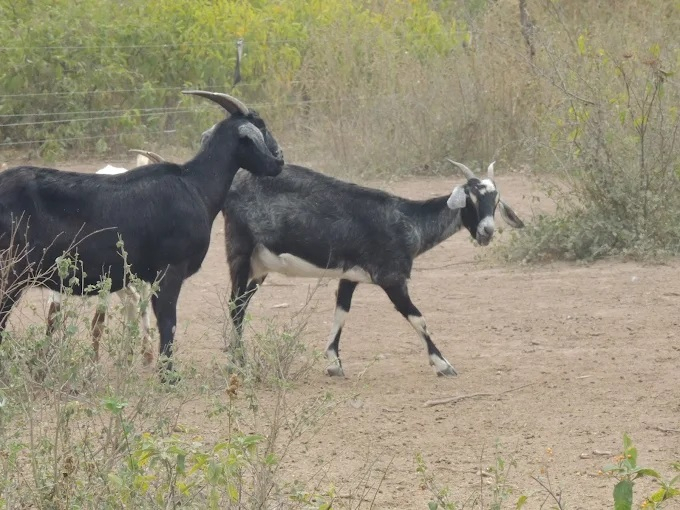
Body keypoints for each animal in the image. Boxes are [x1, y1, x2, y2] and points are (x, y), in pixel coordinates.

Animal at [45, 150, 164, 366]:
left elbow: (97, 323)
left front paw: (93, 364)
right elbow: (53, 318)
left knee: (142, 301)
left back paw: (146, 352)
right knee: (132, 299)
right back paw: (127, 355)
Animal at [222, 159, 524, 377]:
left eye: (496, 201)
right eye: (470, 198)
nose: (486, 232)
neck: (408, 222)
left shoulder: (350, 276)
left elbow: (341, 312)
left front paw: (334, 364)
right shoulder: (391, 278)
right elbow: (418, 318)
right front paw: (443, 364)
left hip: (259, 266)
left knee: (242, 306)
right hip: (240, 253)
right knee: (235, 307)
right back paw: (239, 364)